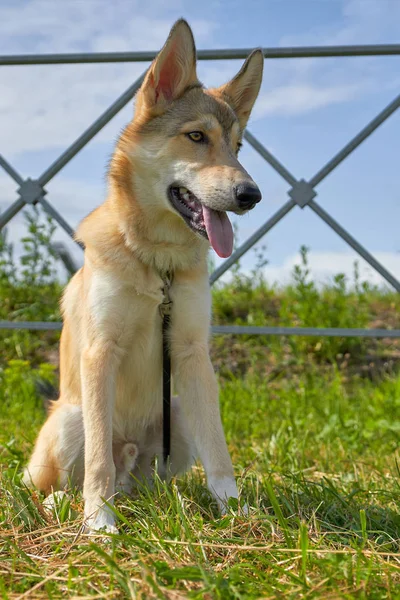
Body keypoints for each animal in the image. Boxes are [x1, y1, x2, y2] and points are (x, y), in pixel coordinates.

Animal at [23, 19, 264, 536]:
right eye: (196, 137)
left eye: (237, 147)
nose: (251, 194)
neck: (157, 262)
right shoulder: (101, 352)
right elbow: (97, 461)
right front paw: (99, 522)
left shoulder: (192, 354)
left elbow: (219, 452)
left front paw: (235, 511)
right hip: (70, 416)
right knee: (52, 483)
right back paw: (69, 504)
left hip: (176, 415)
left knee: (144, 480)